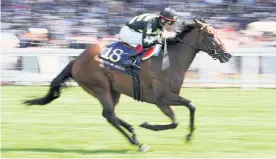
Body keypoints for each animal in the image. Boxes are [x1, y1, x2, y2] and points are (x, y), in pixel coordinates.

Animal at [23, 19, 232, 152]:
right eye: (211, 34)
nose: (227, 55)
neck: (169, 60)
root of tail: (76, 60)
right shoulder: (161, 99)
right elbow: (181, 115)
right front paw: (150, 125)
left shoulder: (166, 98)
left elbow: (187, 110)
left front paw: (187, 136)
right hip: (100, 87)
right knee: (110, 115)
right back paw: (137, 142)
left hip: (113, 91)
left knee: (109, 115)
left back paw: (133, 134)